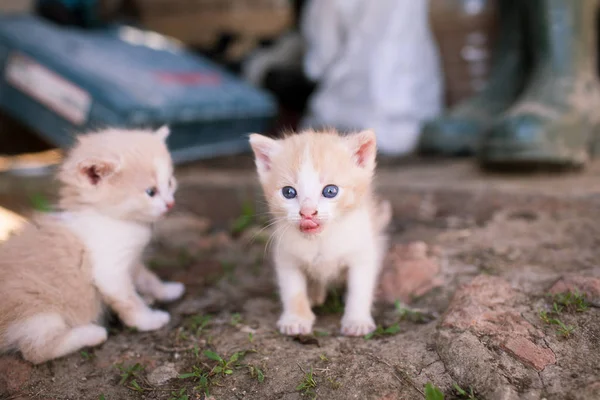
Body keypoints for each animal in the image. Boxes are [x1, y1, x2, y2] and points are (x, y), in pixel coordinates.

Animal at [0, 126, 185, 364]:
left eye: (170, 182)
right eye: (150, 192)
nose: (170, 203)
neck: (114, 218)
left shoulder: (131, 260)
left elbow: (147, 278)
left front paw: (167, 290)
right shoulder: (109, 272)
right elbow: (129, 301)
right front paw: (149, 321)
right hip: (38, 312)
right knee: (36, 351)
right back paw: (92, 333)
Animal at [248, 130, 390, 336]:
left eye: (330, 191)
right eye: (288, 192)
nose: (307, 212)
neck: (319, 240)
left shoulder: (362, 253)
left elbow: (360, 288)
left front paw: (357, 320)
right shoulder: (286, 257)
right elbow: (293, 290)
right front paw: (296, 319)